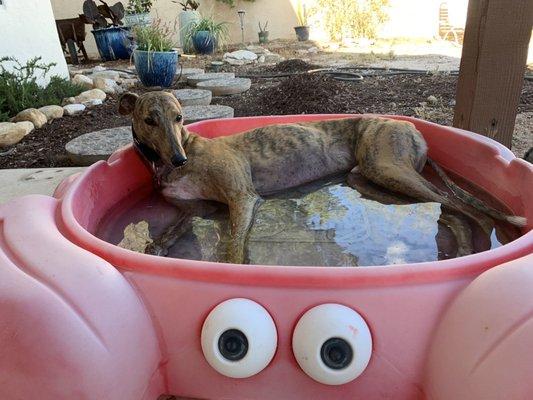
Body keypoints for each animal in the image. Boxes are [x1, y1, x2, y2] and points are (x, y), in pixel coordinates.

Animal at [119, 92, 524, 264]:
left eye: (179, 117)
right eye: (150, 119)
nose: (178, 157)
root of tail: (412, 127)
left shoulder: (243, 198)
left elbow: (233, 247)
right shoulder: (197, 209)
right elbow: (167, 233)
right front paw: (155, 248)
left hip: (387, 169)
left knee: (467, 208)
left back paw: (485, 242)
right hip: (369, 179)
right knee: (450, 211)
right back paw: (465, 248)